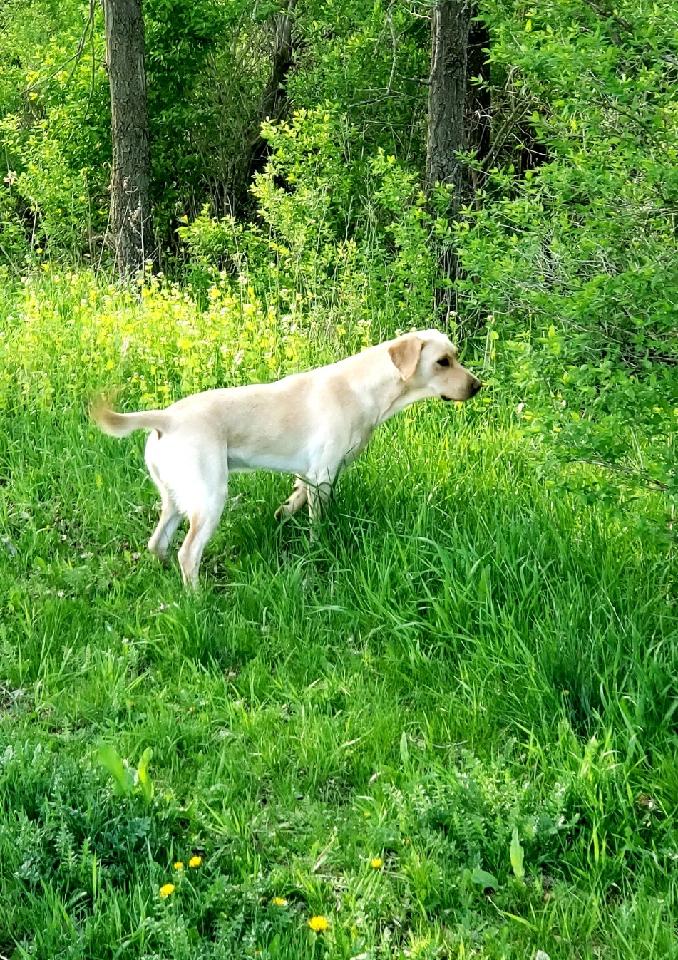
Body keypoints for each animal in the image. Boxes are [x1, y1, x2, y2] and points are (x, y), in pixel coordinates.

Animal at [91, 330, 484, 584]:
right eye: (443, 361)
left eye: (456, 356)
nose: (478, 386)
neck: (367, 390)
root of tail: (166, 418)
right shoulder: (324, 473)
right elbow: (317, 523)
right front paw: (317, 550)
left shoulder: (308, 475)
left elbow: (291, 503)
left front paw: (283, 520)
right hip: (210, 496)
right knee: (187, 554)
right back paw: (197, 599)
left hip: (175, 498)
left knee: (158, 543)